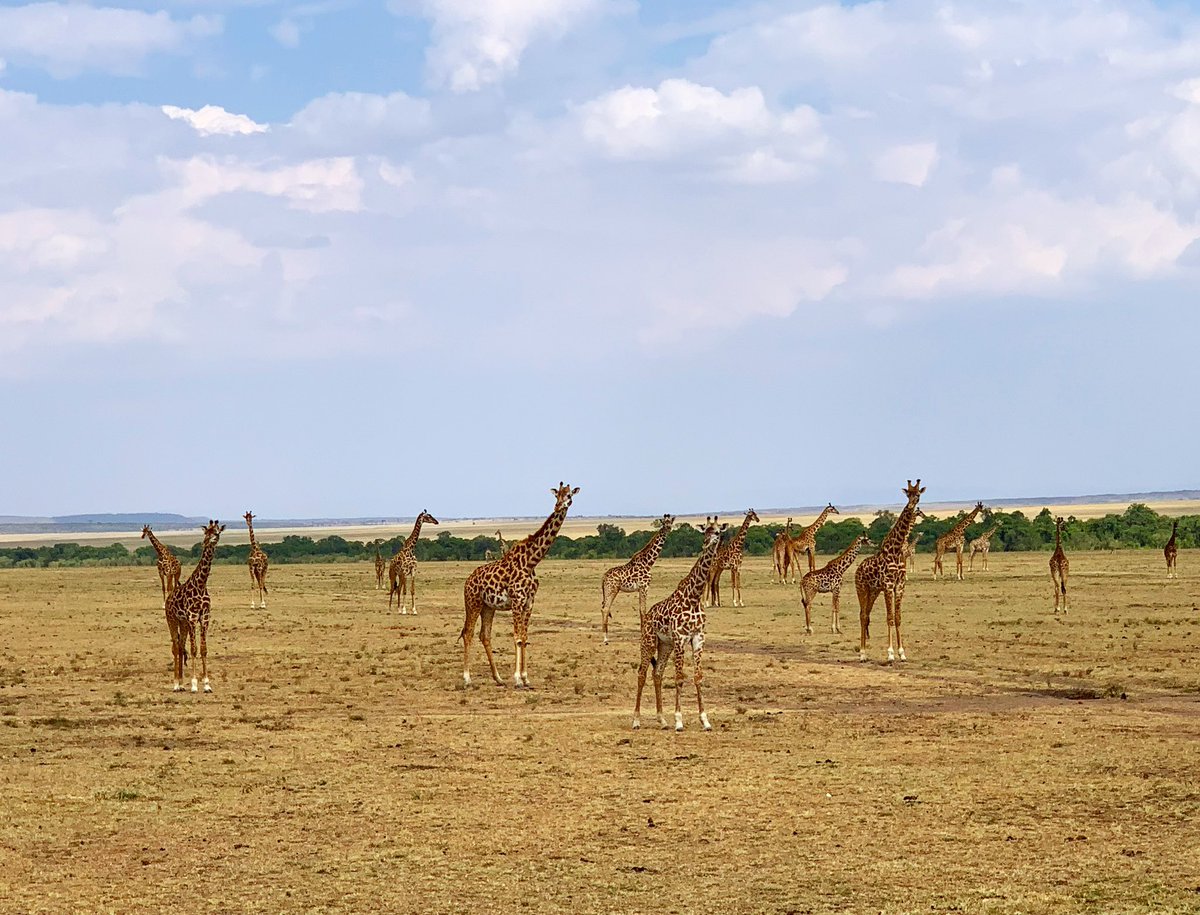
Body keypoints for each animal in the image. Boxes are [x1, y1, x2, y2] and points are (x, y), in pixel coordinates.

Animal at [166, 521, 225, 691]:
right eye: (207, 532)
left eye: (217, 531)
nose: (211, 539)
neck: (201, 584)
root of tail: (168, 598)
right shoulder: (193, 618)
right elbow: (193, 649)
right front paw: (193, 684)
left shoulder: (204, 617)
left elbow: (203, 650)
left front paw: (206, 684)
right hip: (172, 620)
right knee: (175, 647)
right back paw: (176, 684)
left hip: (183, 622)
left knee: (180, 646)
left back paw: (181, 683)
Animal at [460, 485, 578, 682]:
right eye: (557, 495)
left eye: (569, 495)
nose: (559, 506)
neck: (531, 562)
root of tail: (467, 581)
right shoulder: (516, 601)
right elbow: (517, 637)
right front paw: (517, 679)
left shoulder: (529, 602)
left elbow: (524, 636)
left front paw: (525, 677)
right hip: (473, 603)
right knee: (468, 633)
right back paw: (467, 678)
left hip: (487, 607)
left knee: (484, 635)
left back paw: (498, 678)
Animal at [600, 509, 676, 643]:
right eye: (664, 523)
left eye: (670, 522)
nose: (668, 528)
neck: (649, 562)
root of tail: (604, 577)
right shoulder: (644, 586)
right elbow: (643, 610)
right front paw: (643, 635)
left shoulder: (641, 588)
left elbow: (641, 610)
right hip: (612, 589)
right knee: (605, 609)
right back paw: (605, 638)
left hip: (610, 590)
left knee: (604, 608)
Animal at [633, 516, 724, 730]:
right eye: (706, 530)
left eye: (718, 531)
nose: (708, 542)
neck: (694, 596)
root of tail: (646, 617)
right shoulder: (681, 639)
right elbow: (680, 678)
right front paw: (679, 720)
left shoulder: (698, 638)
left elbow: (698, 677)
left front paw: (705, 720)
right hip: (648, 641)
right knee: (641, 673)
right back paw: (636, 720)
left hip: (665, 645)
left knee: (657, 673)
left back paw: (662, 719)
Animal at [849, 477, 921, 662]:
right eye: (907, 494)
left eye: (918, 495)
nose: (911, 506)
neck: (896, 549)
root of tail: (858, 569)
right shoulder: (888, 585)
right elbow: (889, 618)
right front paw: (890, 654)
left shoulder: (899, 585)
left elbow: (898, 617)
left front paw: (902, 653)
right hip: (862, 589)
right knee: (862, 615)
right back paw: (862, 654)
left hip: (874, 591)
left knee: (866, 614)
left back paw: (865, 652)